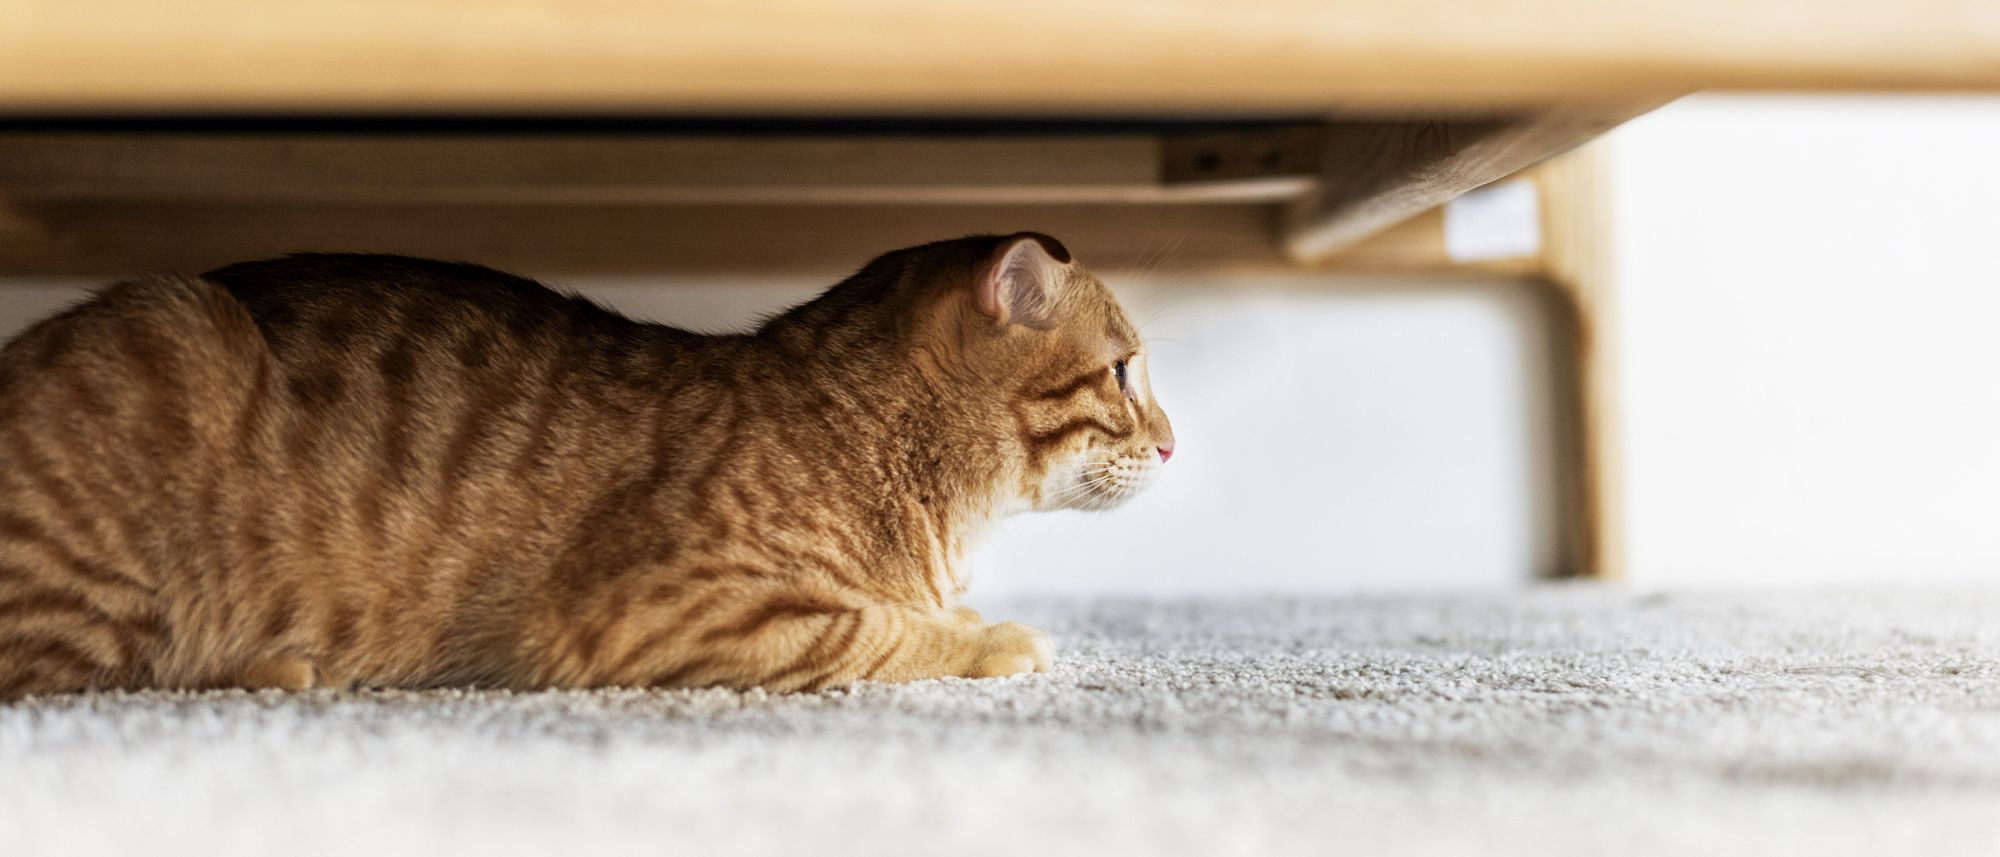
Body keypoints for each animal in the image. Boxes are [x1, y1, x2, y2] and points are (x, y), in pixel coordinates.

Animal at [0, 232, 1168, 696]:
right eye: (1121, 372)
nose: (1170, 439)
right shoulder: (673, 611)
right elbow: (879, 631)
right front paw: (992, 638)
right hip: (171, 349)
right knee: (78, 677)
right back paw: (278, 667)